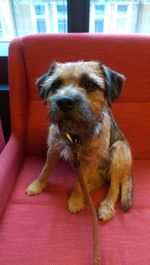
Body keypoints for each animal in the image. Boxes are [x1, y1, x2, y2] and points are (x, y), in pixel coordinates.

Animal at [25, 60, 132, 220]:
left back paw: (106, 206)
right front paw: (37, 185)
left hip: (118, 151)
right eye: (55, 85)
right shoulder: (54, 148)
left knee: (114, 186)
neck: (75, 135)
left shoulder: (90, 161)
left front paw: (75, 200)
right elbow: (46, 169)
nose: (64, 102)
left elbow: (80, 185)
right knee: (99, 182)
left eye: (89, 84)